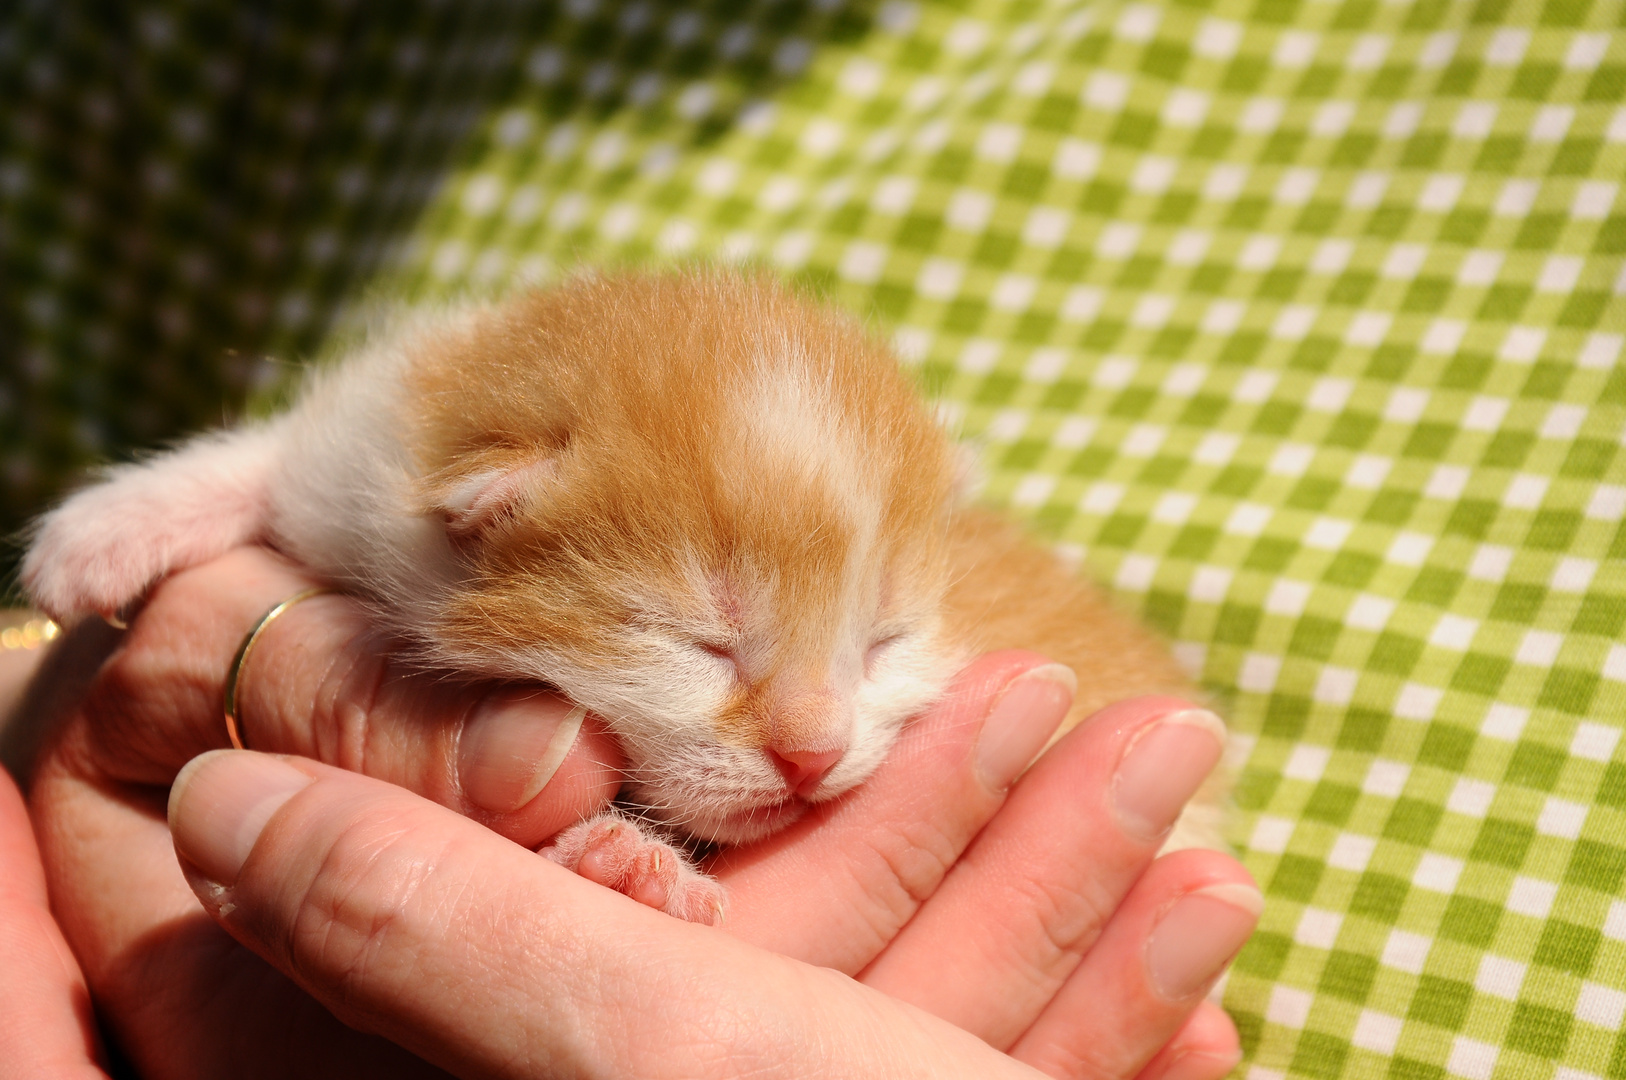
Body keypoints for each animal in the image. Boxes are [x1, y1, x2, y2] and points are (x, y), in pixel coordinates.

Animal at [22, 270, 1222, 917]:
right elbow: (284, 461)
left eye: (880, 646)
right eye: (699, 643)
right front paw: (109, 529)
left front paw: (623, 862)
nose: (815, 756)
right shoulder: (374, 458)